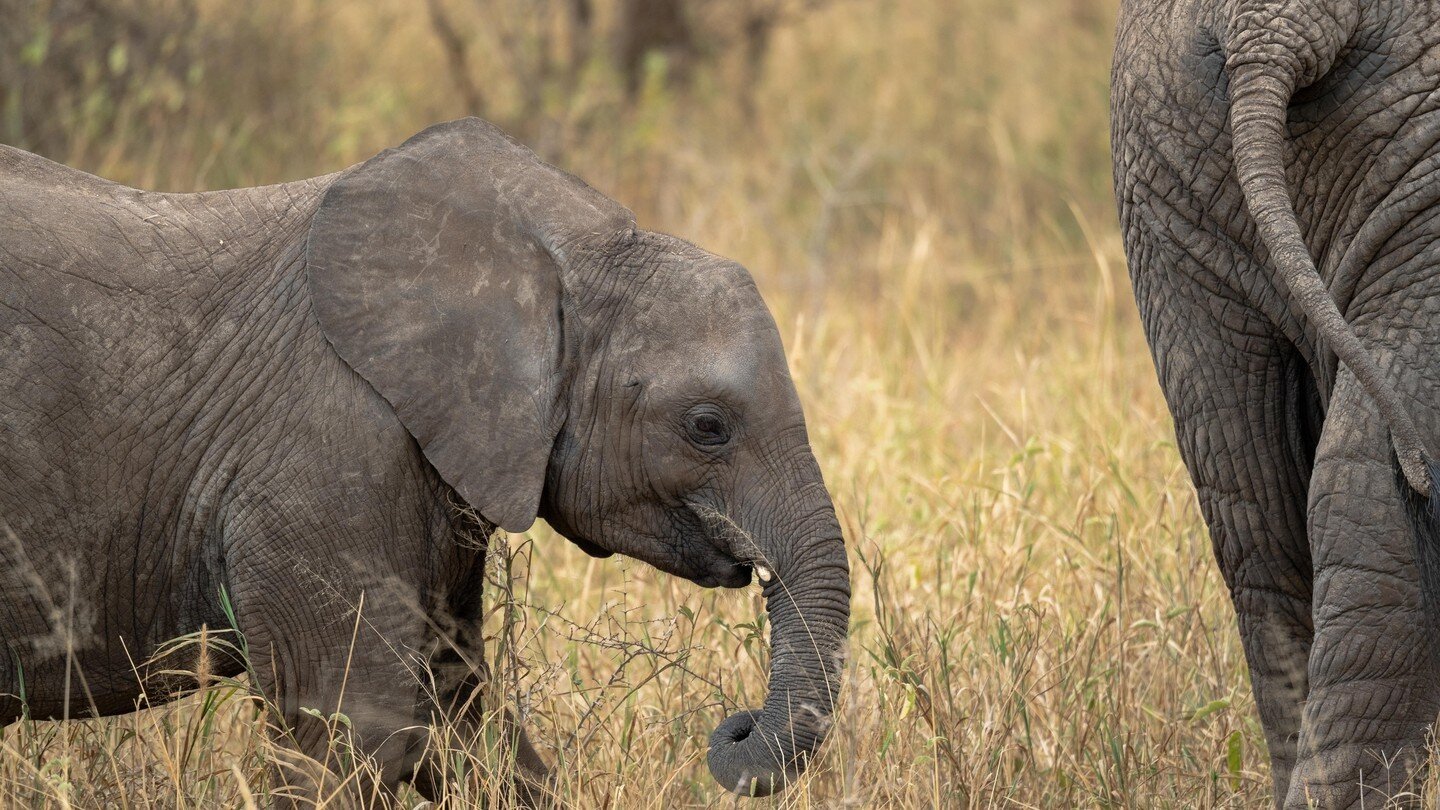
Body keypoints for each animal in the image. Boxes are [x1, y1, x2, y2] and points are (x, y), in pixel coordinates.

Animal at [0, 115, 846, 801]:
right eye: (708, 425)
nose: (735, 727)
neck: (559, 251)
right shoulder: (329, 455)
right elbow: (356, 731)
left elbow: (464, 721)